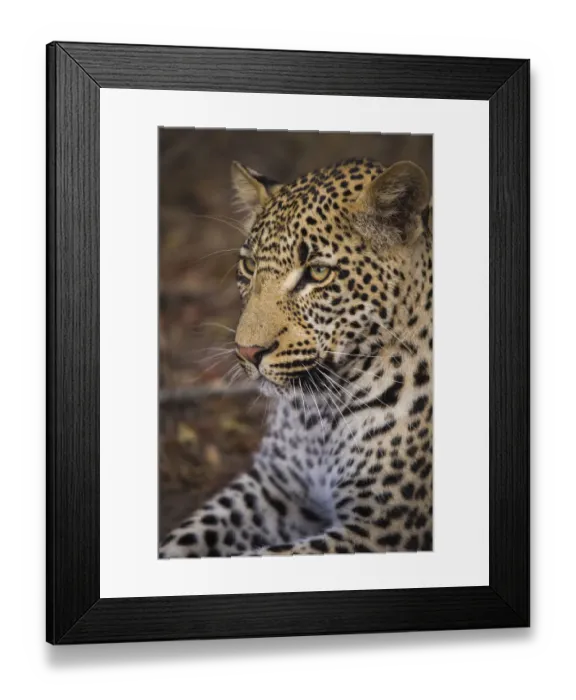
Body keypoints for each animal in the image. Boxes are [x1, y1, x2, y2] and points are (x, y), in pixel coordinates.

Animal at [160, 157, 433, 558]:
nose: (247, 351)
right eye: (249, 267)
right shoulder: (274, 488)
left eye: (317, 272)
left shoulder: (379, 528)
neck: (321, 413)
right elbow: (193, 532)